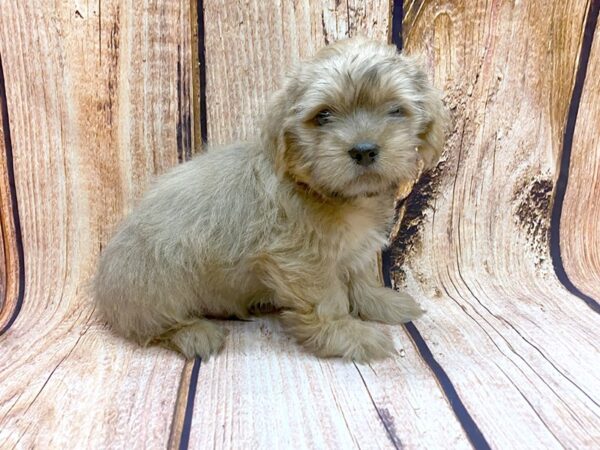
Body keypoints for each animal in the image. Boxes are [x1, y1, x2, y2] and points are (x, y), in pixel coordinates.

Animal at [94, 37, 448, 362]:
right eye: (323, 116)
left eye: (395, 110)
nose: (363, 150)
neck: (323, 191)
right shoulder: (302, 263)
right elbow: (327, 301)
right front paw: (347, 335)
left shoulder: (354, 249)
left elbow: (361, 277)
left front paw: (380, 302)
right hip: (159, 285)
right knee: (153, 327)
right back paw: (193, 333)